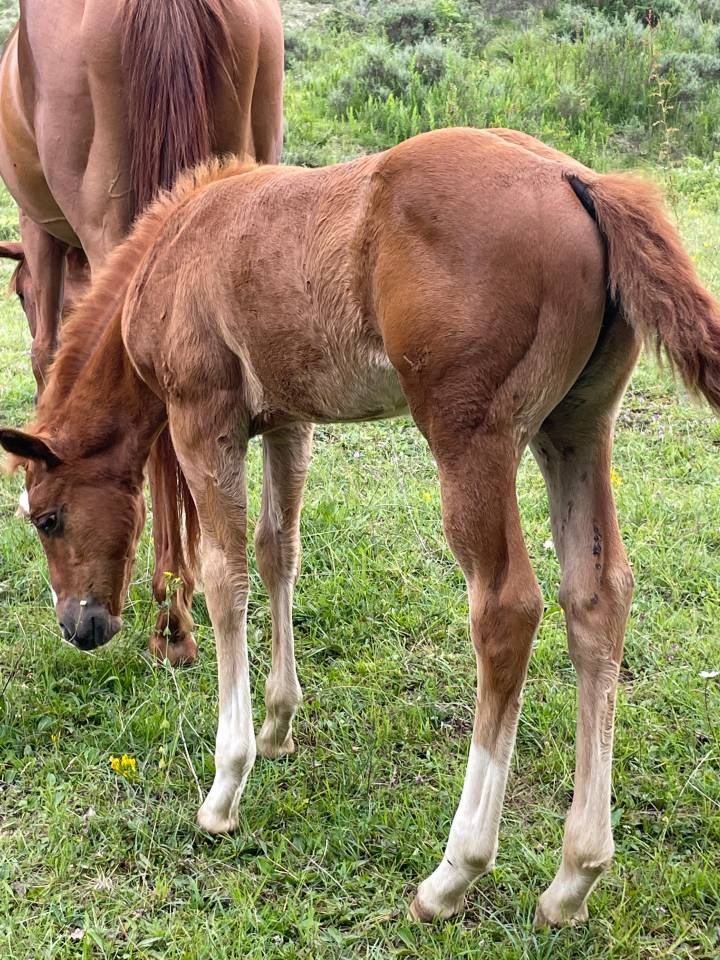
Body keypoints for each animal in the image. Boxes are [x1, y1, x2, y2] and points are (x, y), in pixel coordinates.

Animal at [2, 126, 719, 927]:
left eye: (49, 519)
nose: (80, 626)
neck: (177, 247)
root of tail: (578, 179)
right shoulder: (287, 420)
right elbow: (277, 551)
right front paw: (279, 725)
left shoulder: (203, 417)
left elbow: (226, 575)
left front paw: (226, 784)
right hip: (577, 428)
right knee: (597, 599)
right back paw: (573, 877)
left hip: (472, 438)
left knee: (506, 608)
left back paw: (453, 874)